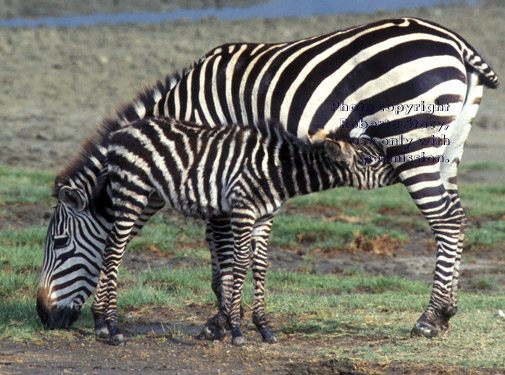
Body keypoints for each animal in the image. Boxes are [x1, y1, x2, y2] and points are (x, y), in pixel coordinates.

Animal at [86, 117, 390, 346]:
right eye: (370, 161)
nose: (398, 171)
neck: (278, 171)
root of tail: (120, 132)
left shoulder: (265, 218)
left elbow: (260, 266)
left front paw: (264, 328)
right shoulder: (243, 210)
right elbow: (240, 264)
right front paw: (236, 330)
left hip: (143, 195)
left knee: (111, 247)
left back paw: (102, 322)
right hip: (131, 192)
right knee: (114, 251)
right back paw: (113, 328)